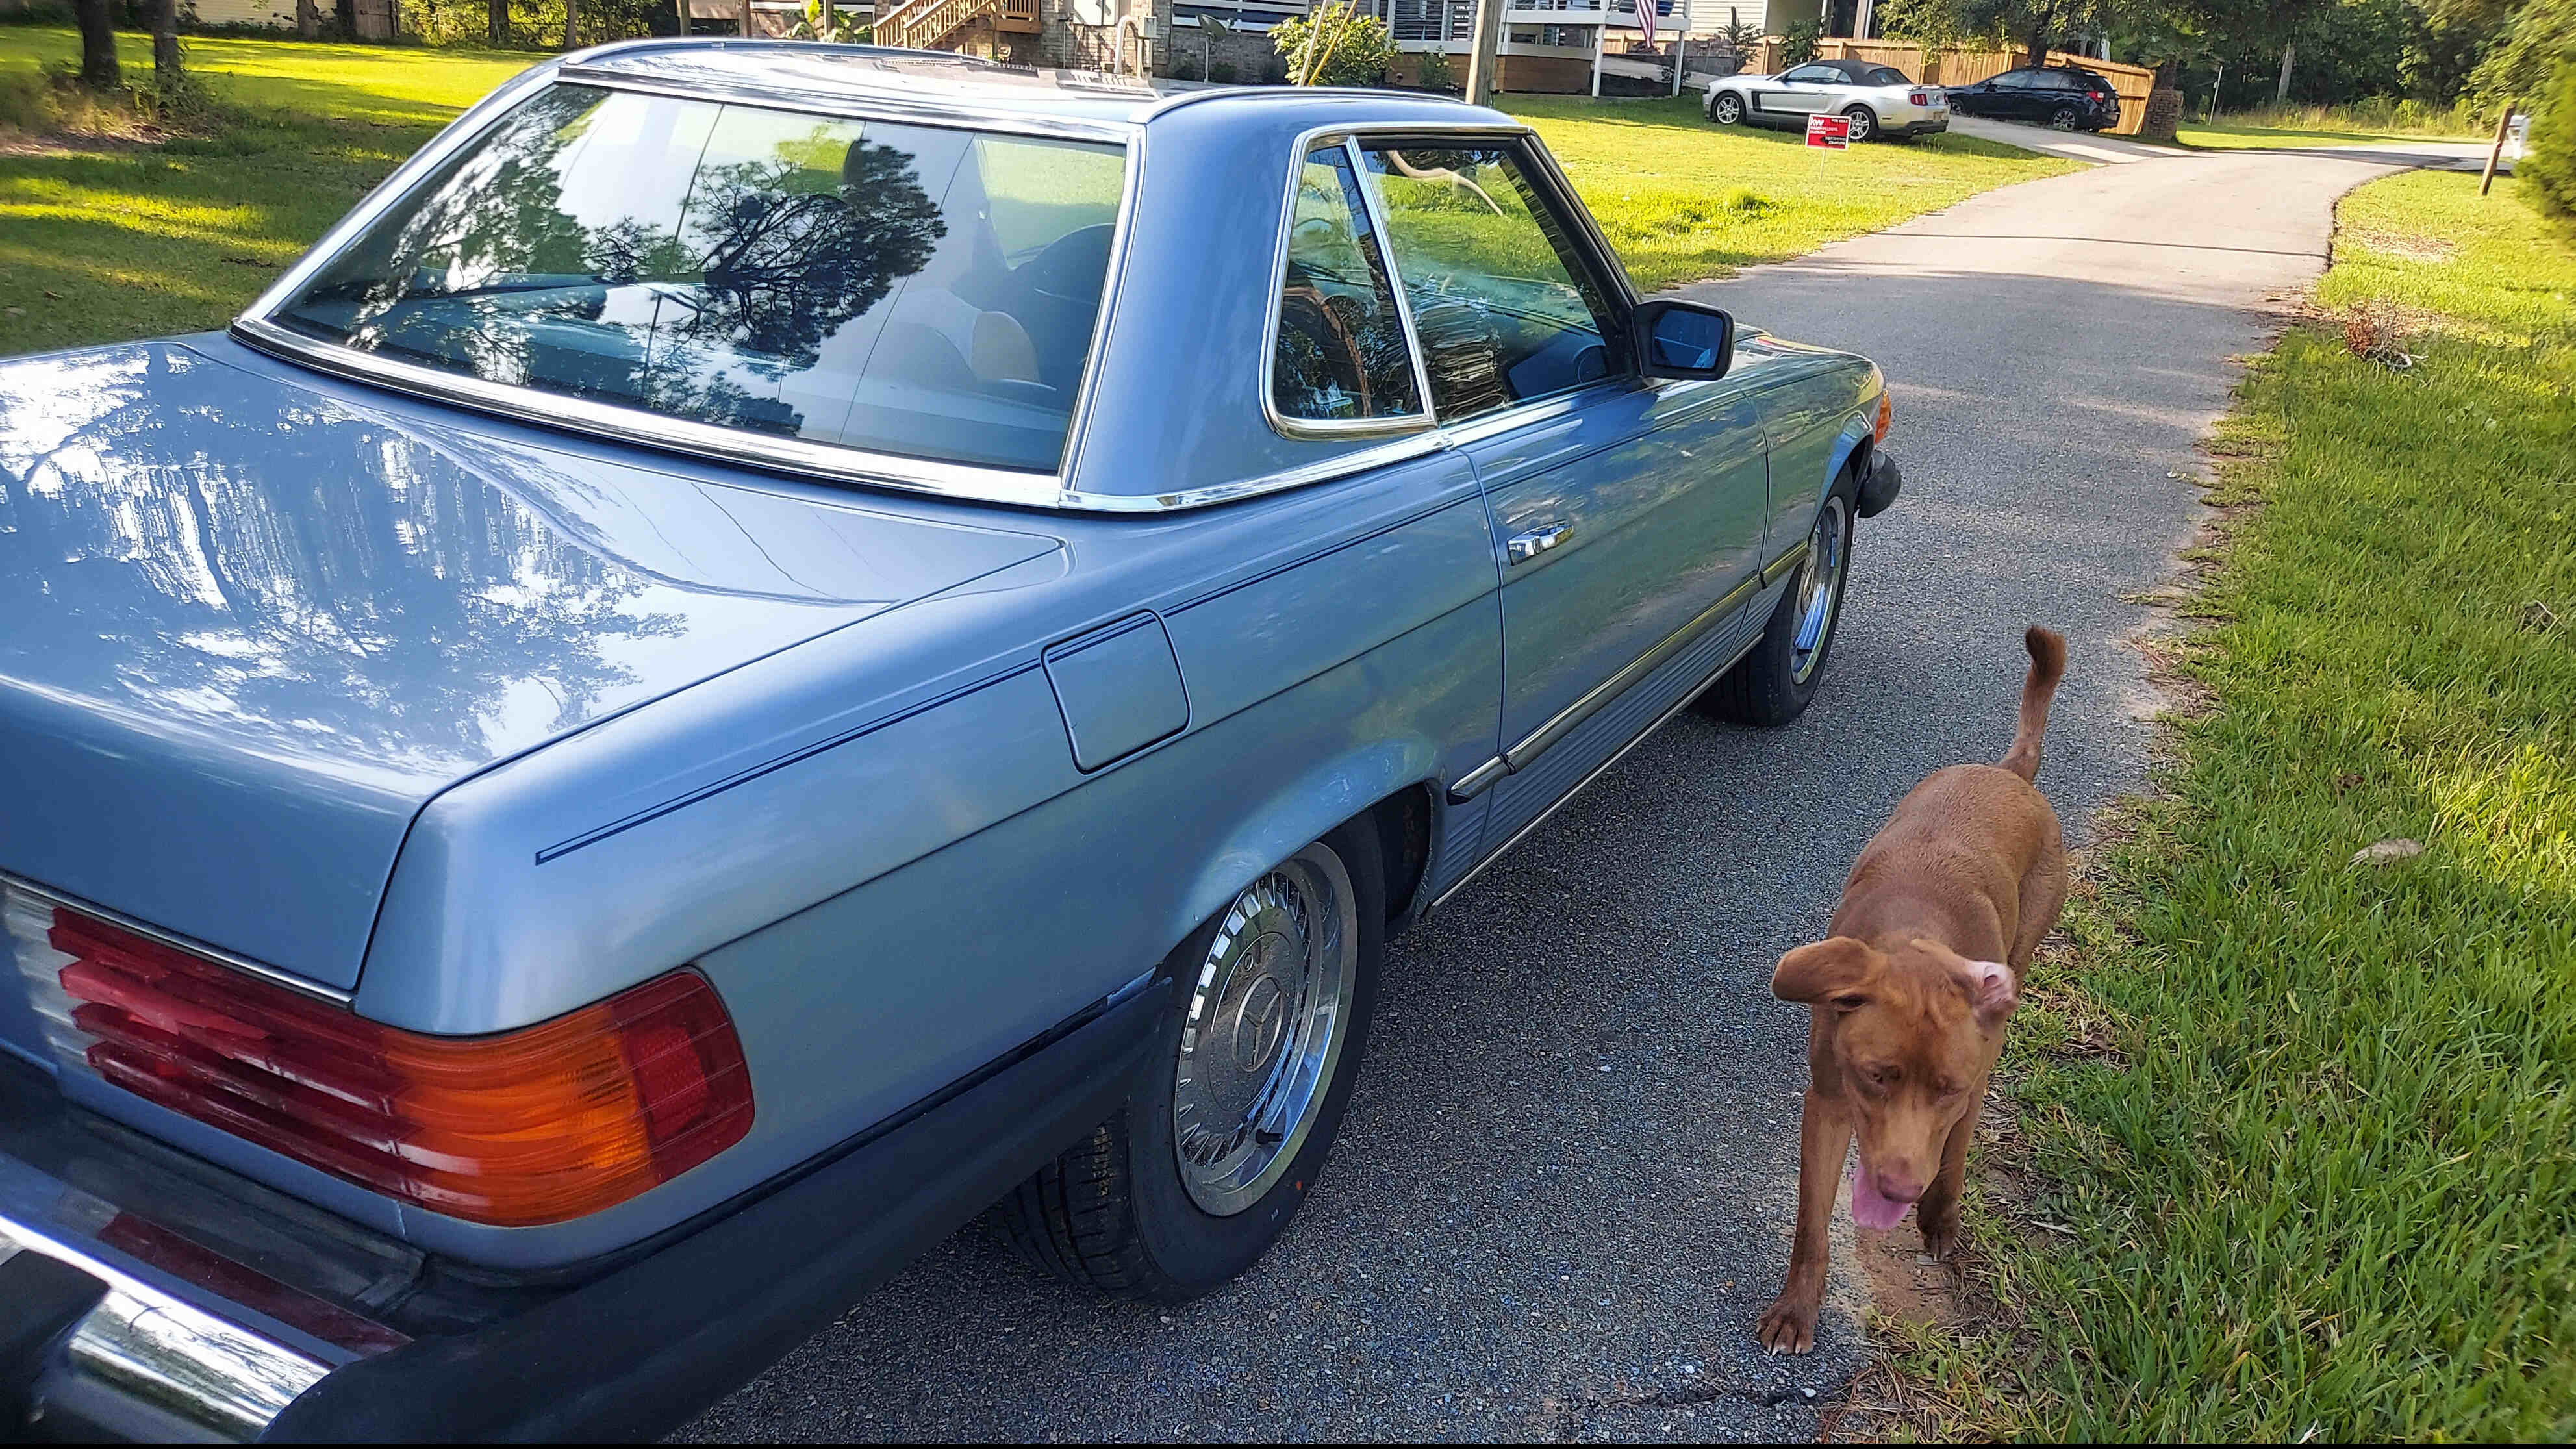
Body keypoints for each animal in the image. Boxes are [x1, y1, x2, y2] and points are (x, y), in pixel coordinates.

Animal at [1751, 625, 2071, 1359]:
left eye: (1945, 1088)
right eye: (1877, 1075)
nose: (1896, 1188)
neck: (1920, 939)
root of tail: (2008, 773)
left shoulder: (1970, 1083)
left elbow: (1955, 1147)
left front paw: (1940, 1216)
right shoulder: (1828, 1100)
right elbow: (1811, 1221)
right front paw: (1797, 1309)